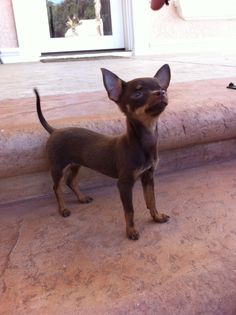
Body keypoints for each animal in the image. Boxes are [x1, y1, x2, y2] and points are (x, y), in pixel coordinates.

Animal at [34, 65, 171, 241]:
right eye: (137, 94)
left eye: (162, 88)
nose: (161, 93)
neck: (144, 142)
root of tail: (54, 130)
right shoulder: (124, 184)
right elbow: (130, 211)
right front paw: (131, 231)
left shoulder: (148, 176)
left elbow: (151, 200)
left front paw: (157, 217)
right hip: (57, 167)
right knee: (57, 187)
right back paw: (63, 209)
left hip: (76, 164)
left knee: (70, 181)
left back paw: (82, 198)